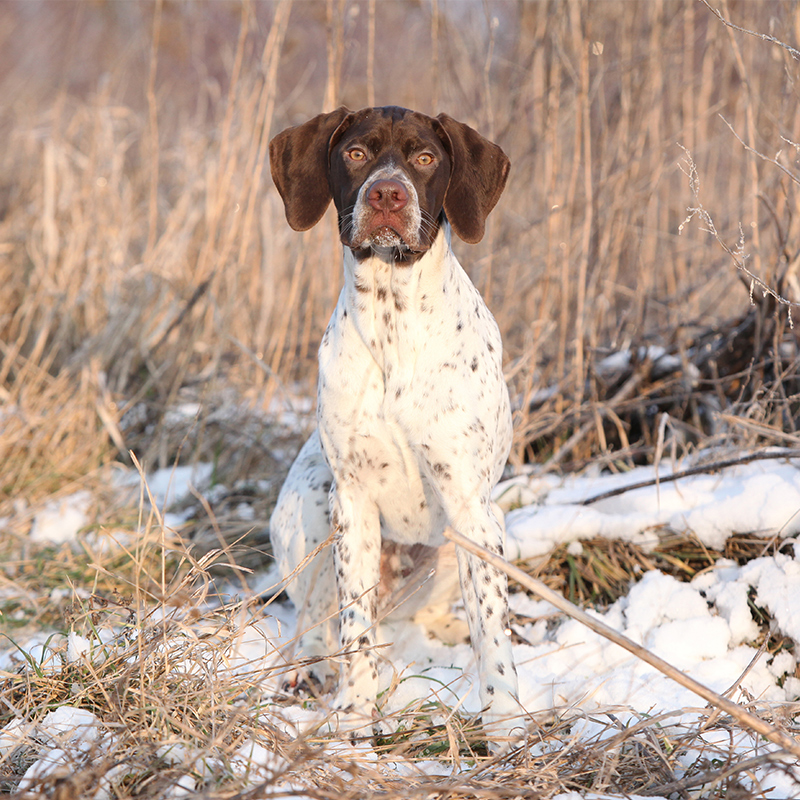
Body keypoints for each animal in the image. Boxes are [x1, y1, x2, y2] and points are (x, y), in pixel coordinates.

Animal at [268, 104, 520, 744]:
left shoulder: (472, 507)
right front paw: (355, 716)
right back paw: (311, 670)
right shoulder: (353, 505)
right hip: (310, 505)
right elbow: (352, 631)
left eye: (425, 157)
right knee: (317, 621)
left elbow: (492, 627)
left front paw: (506, 717)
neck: (390, 319)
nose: (387, 193)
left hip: (480, 531)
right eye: (356, 153)